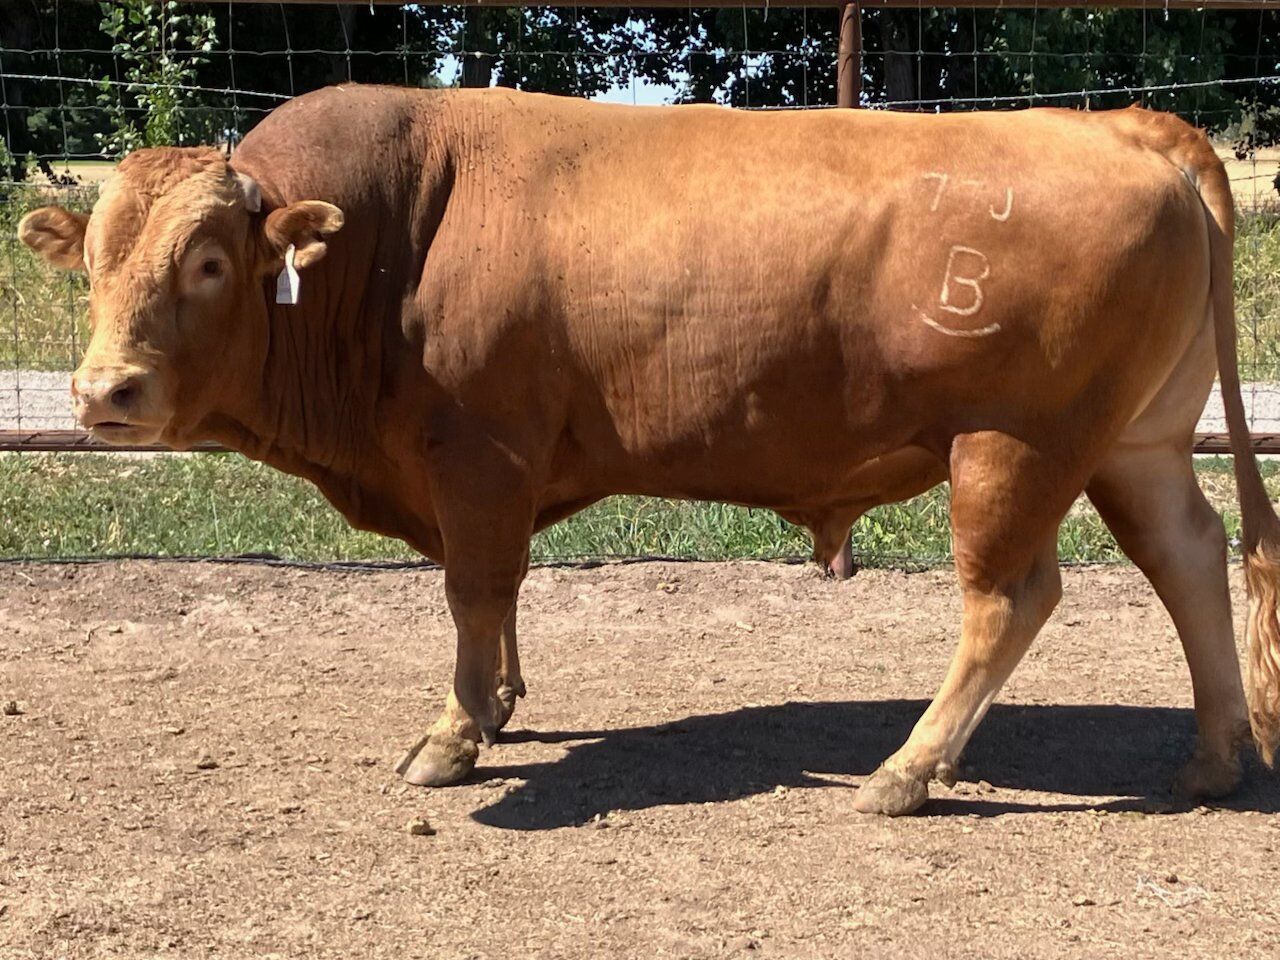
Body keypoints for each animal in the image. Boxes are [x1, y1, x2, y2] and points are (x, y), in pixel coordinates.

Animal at [18, 85, 1280, 816]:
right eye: (93, 263)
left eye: (209, 263)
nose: (104, 391)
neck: (392, 235)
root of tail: (1119, 124)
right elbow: (492, 595)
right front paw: (501, 703)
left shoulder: (475, 454)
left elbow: (474, 587)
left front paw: (453, 733)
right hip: (1135, 444)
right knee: (1188, 557)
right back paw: (1215, 754)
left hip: (1011, 449)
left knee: (1009, 598)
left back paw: (906, 771)